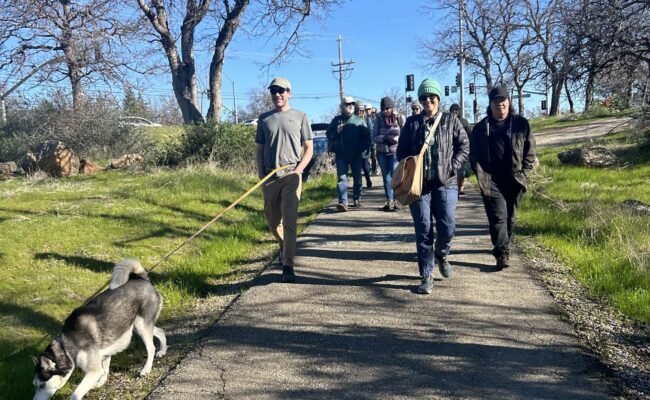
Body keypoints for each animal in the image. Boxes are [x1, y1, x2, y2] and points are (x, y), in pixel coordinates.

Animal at [32, 260, 166, 400]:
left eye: (42, 385)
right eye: (34, 385)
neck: (67, 345)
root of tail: (142, 278)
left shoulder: (93, 370)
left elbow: (76, 394)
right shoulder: (104, 355)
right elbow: (105, 370)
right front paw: (101, 382)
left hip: (141, 327)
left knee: (151, 348)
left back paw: (146, 369)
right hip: (138, 326)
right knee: (161, 331)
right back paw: (162, 351)